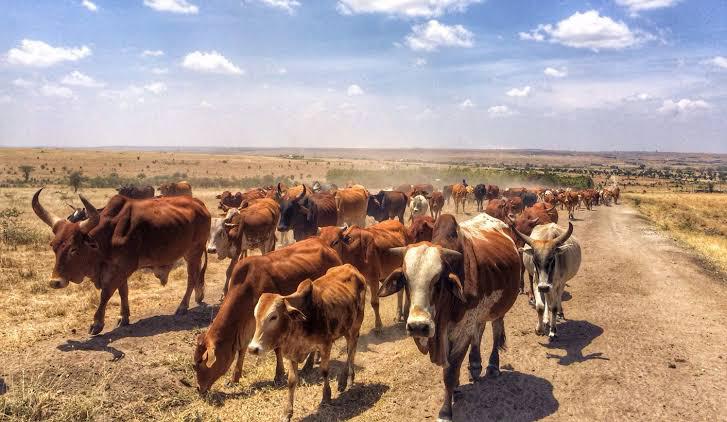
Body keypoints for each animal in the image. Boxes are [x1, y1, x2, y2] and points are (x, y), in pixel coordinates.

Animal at [192, 237, 342, 396]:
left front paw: (278, 375)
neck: (248, 288)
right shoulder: (248, 326)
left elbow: (277, 349)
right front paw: (234, 379)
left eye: (199, 363)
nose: (199, 388)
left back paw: (308, 365)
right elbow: (242, 350)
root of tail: (327, 246)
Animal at [247, 264, 366, 422]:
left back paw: (343, 381)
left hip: (355, 326)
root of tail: (351, 267)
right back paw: (350, 379)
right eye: (255, 315)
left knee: (351, 349)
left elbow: (324, 371)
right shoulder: (292, 353)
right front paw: (288, 412)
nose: (252, 348)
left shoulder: (325, 345)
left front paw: (326, 397)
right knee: (351, 349)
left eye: (273, 317)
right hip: (347, 329)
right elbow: (291, 381)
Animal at [378, 214, 520, 422]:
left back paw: (493, 366)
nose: (418, 326)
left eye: (438, 281)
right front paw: (457, 389)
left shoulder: (462, 331)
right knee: (479, 330)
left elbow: (450, 372)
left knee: (495, 330)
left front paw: (445, 411)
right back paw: (475, 365)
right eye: (405, 279)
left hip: (499, 308)